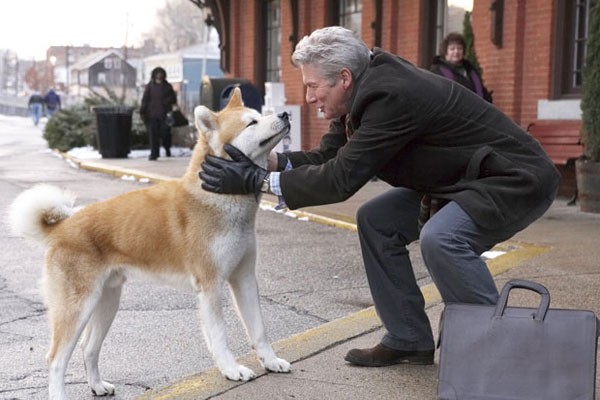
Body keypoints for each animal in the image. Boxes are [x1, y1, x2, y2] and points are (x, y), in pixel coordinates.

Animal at [7, 88, 292, 400]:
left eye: (259, 115)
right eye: (251, 122)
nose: (285, 114)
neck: (218, 197)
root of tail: (62, 227)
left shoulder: (244, 278)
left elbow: (259, 330)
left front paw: (271, 361)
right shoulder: (211, 286)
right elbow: (219, 336)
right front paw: (231, 369)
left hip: (107, 302)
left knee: (88, 348)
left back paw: (97, 385)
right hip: (77, 308)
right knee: (56, 359)